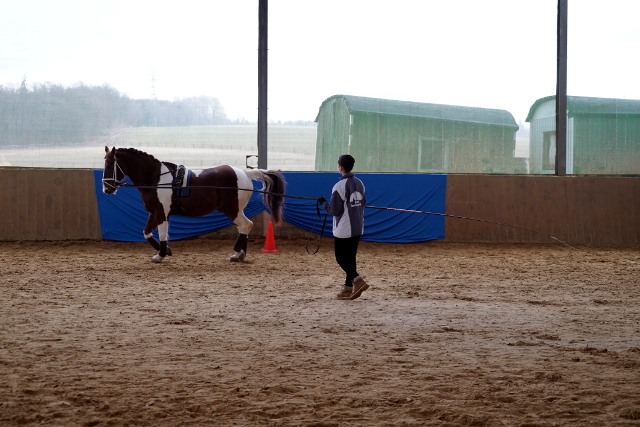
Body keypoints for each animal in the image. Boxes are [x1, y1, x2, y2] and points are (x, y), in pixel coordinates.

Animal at [102, 146, 286, 263]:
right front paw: (166, 251)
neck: (156, 179)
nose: (106, 189)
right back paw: (239, 255)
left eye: (110, 164)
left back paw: (237, 253)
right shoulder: (154, 212)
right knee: (244, 228)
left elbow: (162, 235)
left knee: (247, 225)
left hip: (232, 210)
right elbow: (146, 233)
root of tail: (245, 174)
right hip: (237, 210)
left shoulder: (161, 213)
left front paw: (160, 255)